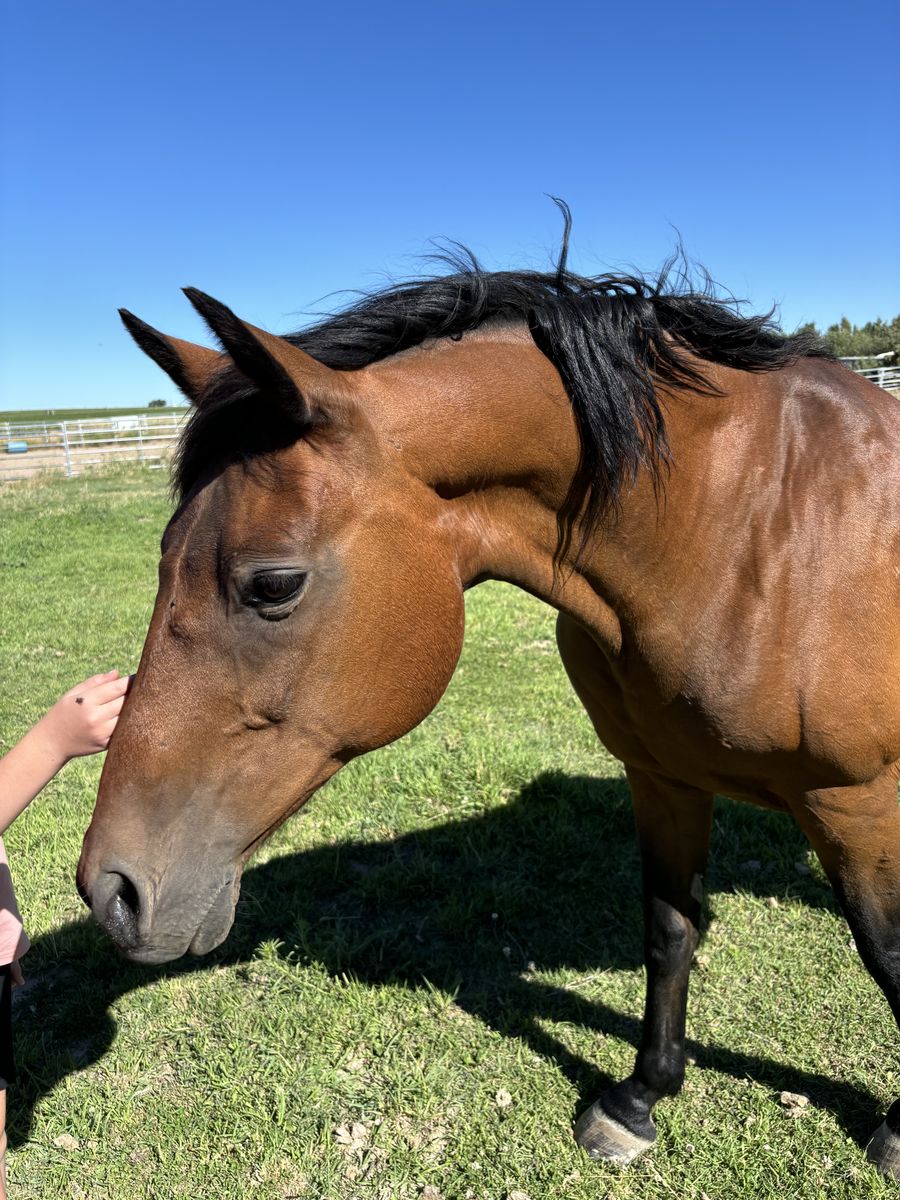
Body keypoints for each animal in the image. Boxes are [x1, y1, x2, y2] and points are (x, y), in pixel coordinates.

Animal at [76, 221, 900, 1177]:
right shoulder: (662, 775)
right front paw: (640, 1098)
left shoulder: (855, 801)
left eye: (273, 584)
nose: (112, 892)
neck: (752, 532)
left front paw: (898, 1131)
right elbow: (671, 929)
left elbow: (886, 954)